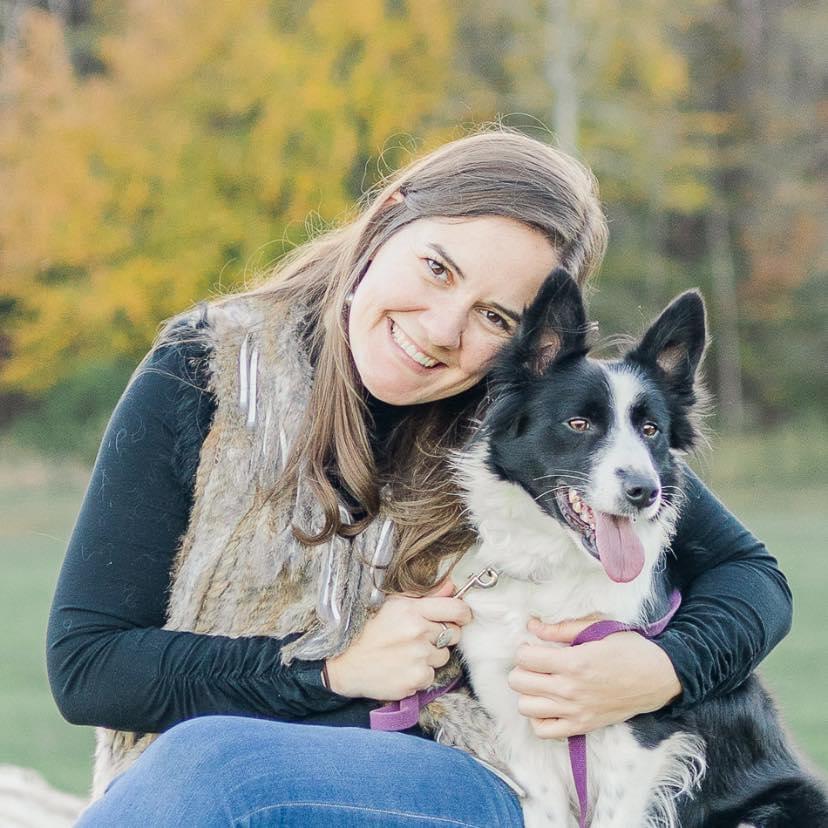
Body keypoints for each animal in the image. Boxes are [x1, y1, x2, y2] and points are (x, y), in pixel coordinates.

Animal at [447, 269, 827, 827]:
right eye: (578, 424)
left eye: (650, 430)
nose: (644, 491)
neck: (559, 575)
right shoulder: (519, 725)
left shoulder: (635, 740)